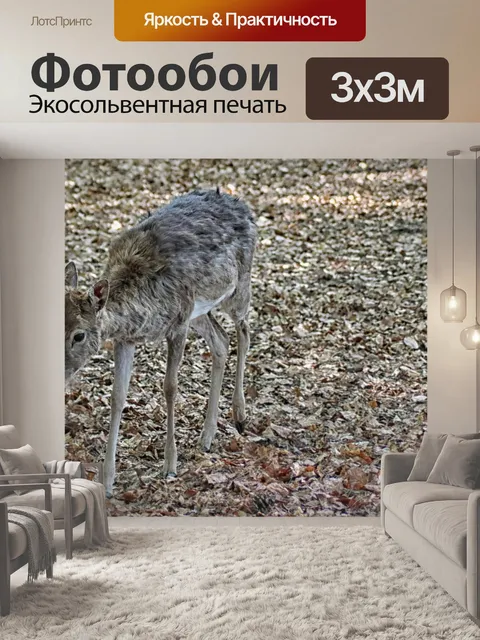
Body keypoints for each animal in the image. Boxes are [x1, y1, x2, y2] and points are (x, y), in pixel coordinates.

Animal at [65, 189, 257, 497]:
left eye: (79, 335)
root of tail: (244, 207)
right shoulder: (125, 339)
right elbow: (117, 396)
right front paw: (107, 482)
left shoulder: (178, 324)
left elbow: (170, 387)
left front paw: (170, 465)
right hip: (199, 312)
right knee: (221, 340)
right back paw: (207, 435)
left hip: (238, 287)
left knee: (244, 331)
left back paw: (239, 414)